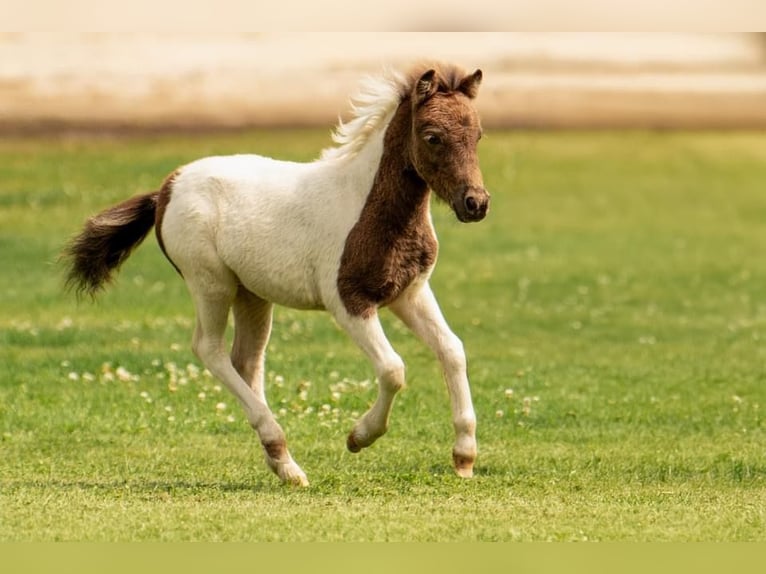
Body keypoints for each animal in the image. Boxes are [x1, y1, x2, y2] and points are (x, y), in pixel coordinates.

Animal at [63, 63, 488, 486]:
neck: (366, 208)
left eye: (478, 135)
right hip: (210, 284)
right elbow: (393, 369)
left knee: (246, 361)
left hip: (251, 294)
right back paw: (282, 450)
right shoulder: (348, 301)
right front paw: (358, 437)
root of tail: (165, 191)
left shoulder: (410, 292)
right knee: (209, 349)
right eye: (432, 136)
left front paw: (464, 457)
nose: (476, 203)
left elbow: (452, 350)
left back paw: (283, 465)